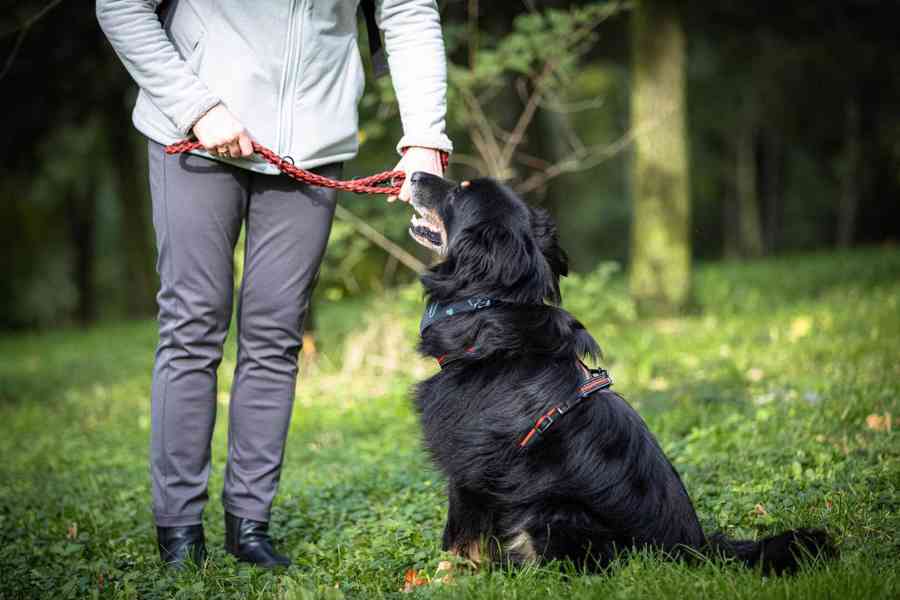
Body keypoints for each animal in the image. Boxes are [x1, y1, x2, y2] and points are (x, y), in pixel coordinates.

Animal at [404, 171, 832, 576]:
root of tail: (693, 550)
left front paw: (442, 580)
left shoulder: (468, 468)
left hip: (551, 509)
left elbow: (458, 539)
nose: (413, 175)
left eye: (458, 191)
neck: (491, 305)